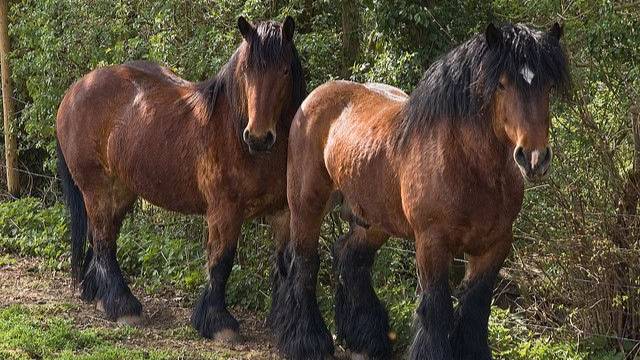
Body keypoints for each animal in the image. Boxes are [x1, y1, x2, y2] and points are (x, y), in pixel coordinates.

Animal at [55, 16, 304, 344]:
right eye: (247, 70)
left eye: (285, 70)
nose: (259, 137)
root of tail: (74, 90)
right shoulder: (224, 211)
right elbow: (221, 262)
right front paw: (218, 322)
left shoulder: (282, 213)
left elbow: (284, 266)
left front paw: (282, 326)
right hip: (97, 190)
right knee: (104, 242)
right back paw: (122, 305)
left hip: (121, 192)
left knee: (102, 240)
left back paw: (98, 295)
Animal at [270, 23, 568, 360]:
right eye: (501, 84)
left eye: (547, 86)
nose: (534, 158)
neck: (464, 162)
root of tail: (312, 101)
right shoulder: (431, 242)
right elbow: (436, 309)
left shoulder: (494, 246)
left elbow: (475, 310)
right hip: (307, 205)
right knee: (303, 264)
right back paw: (307, 341)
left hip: (373, 220)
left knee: (350, 258)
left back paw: (367, 338)